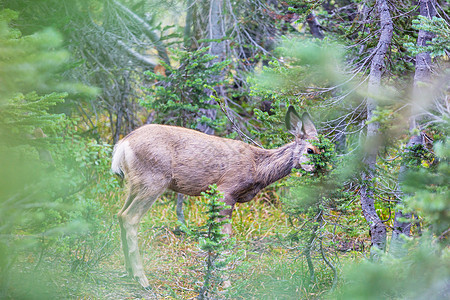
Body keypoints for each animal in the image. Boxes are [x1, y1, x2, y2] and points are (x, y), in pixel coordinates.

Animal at [110, 106, 318, 290]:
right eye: (311, 150)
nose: (318, 170)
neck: (258, 168)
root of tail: (123, 145)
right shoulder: (226, 191)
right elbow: (224, 238)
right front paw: (225, 283)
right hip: (154, 180)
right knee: (130, 217)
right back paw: (142, 279)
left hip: (135, 184)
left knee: (120, 214)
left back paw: (129, 271)